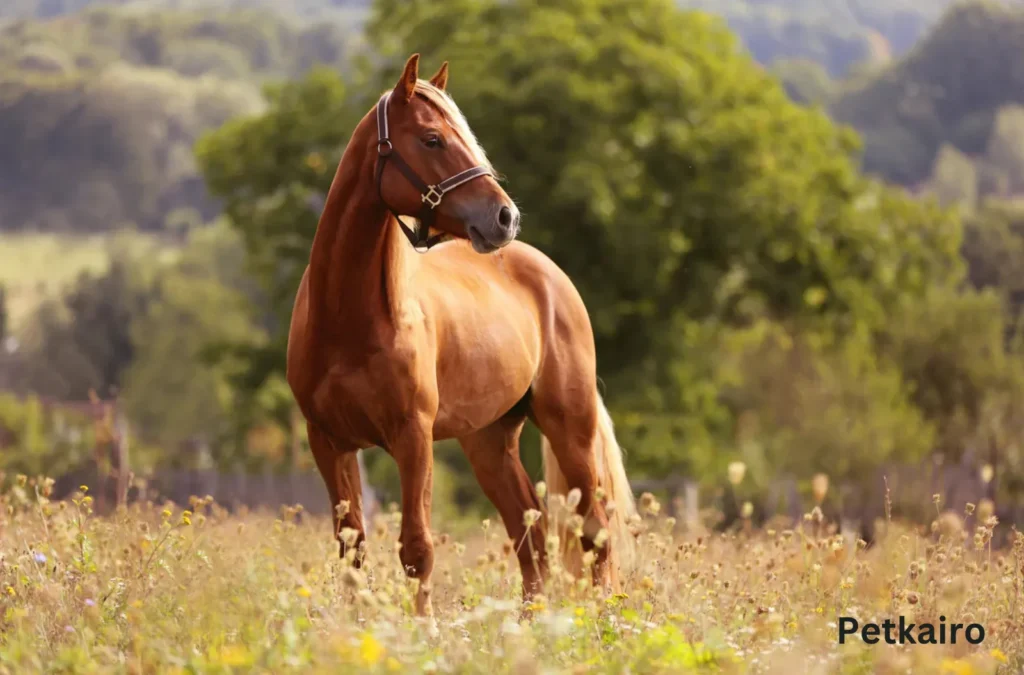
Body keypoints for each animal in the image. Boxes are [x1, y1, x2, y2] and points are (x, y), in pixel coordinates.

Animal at [286, 53, 637, 617]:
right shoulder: (328, 442)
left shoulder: (412, 437)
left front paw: (422, 628)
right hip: (489, 441)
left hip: (571, 428)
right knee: (531, 537)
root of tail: (550, 274)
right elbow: (352, 550)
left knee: (594, 532)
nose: (505, 217)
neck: (348, 321)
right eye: (432, 139)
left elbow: (417, 548)